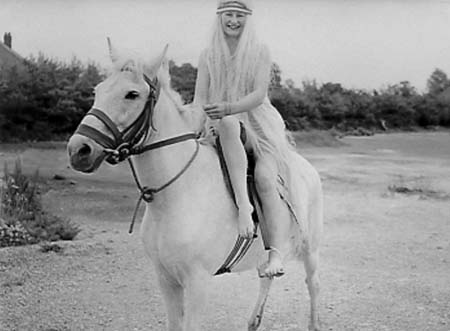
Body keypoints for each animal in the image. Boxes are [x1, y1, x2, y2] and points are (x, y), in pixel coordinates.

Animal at [67, 42, 324, 331]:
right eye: (97, 91)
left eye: (132, 94)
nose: (78, 150)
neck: (176, 195)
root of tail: (305, 166)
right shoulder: (165, 279)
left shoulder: (198, 283)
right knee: (266, 277)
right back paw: (253, 321)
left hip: (311, 247)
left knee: (313, 284)